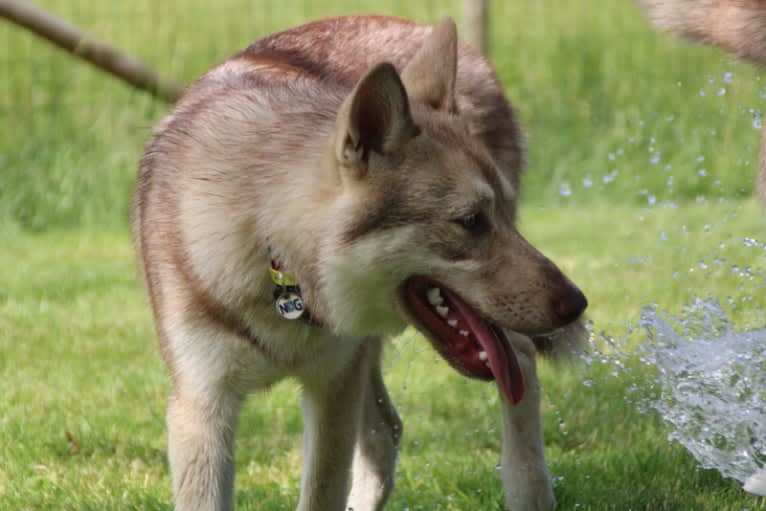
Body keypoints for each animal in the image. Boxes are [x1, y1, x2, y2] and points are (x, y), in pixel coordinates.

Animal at [132, 16, 588, 511]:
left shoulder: (332, 389)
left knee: (518, 362)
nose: (577, 303)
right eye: (471, 221)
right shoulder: (201, 407)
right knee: (389, 432)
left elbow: (320, 494)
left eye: (500, 213)